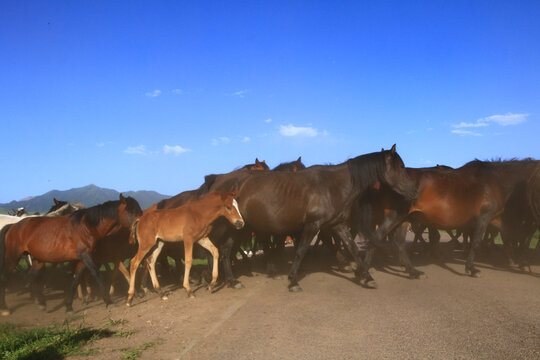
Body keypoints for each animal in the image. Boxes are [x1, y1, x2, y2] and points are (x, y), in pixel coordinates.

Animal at [0, 194, 142, 316]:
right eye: (131, 211)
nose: (141, 224)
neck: (87, 227)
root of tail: (13, 226)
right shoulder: (86, 256)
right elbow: (97, 275)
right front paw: (108, 301)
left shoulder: (82, 260)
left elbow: (76, 279)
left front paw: (69, 306)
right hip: (13, 258)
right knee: (6, 278)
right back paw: (5, 309)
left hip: (38, 260)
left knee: (31, 277)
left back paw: (41, 303)